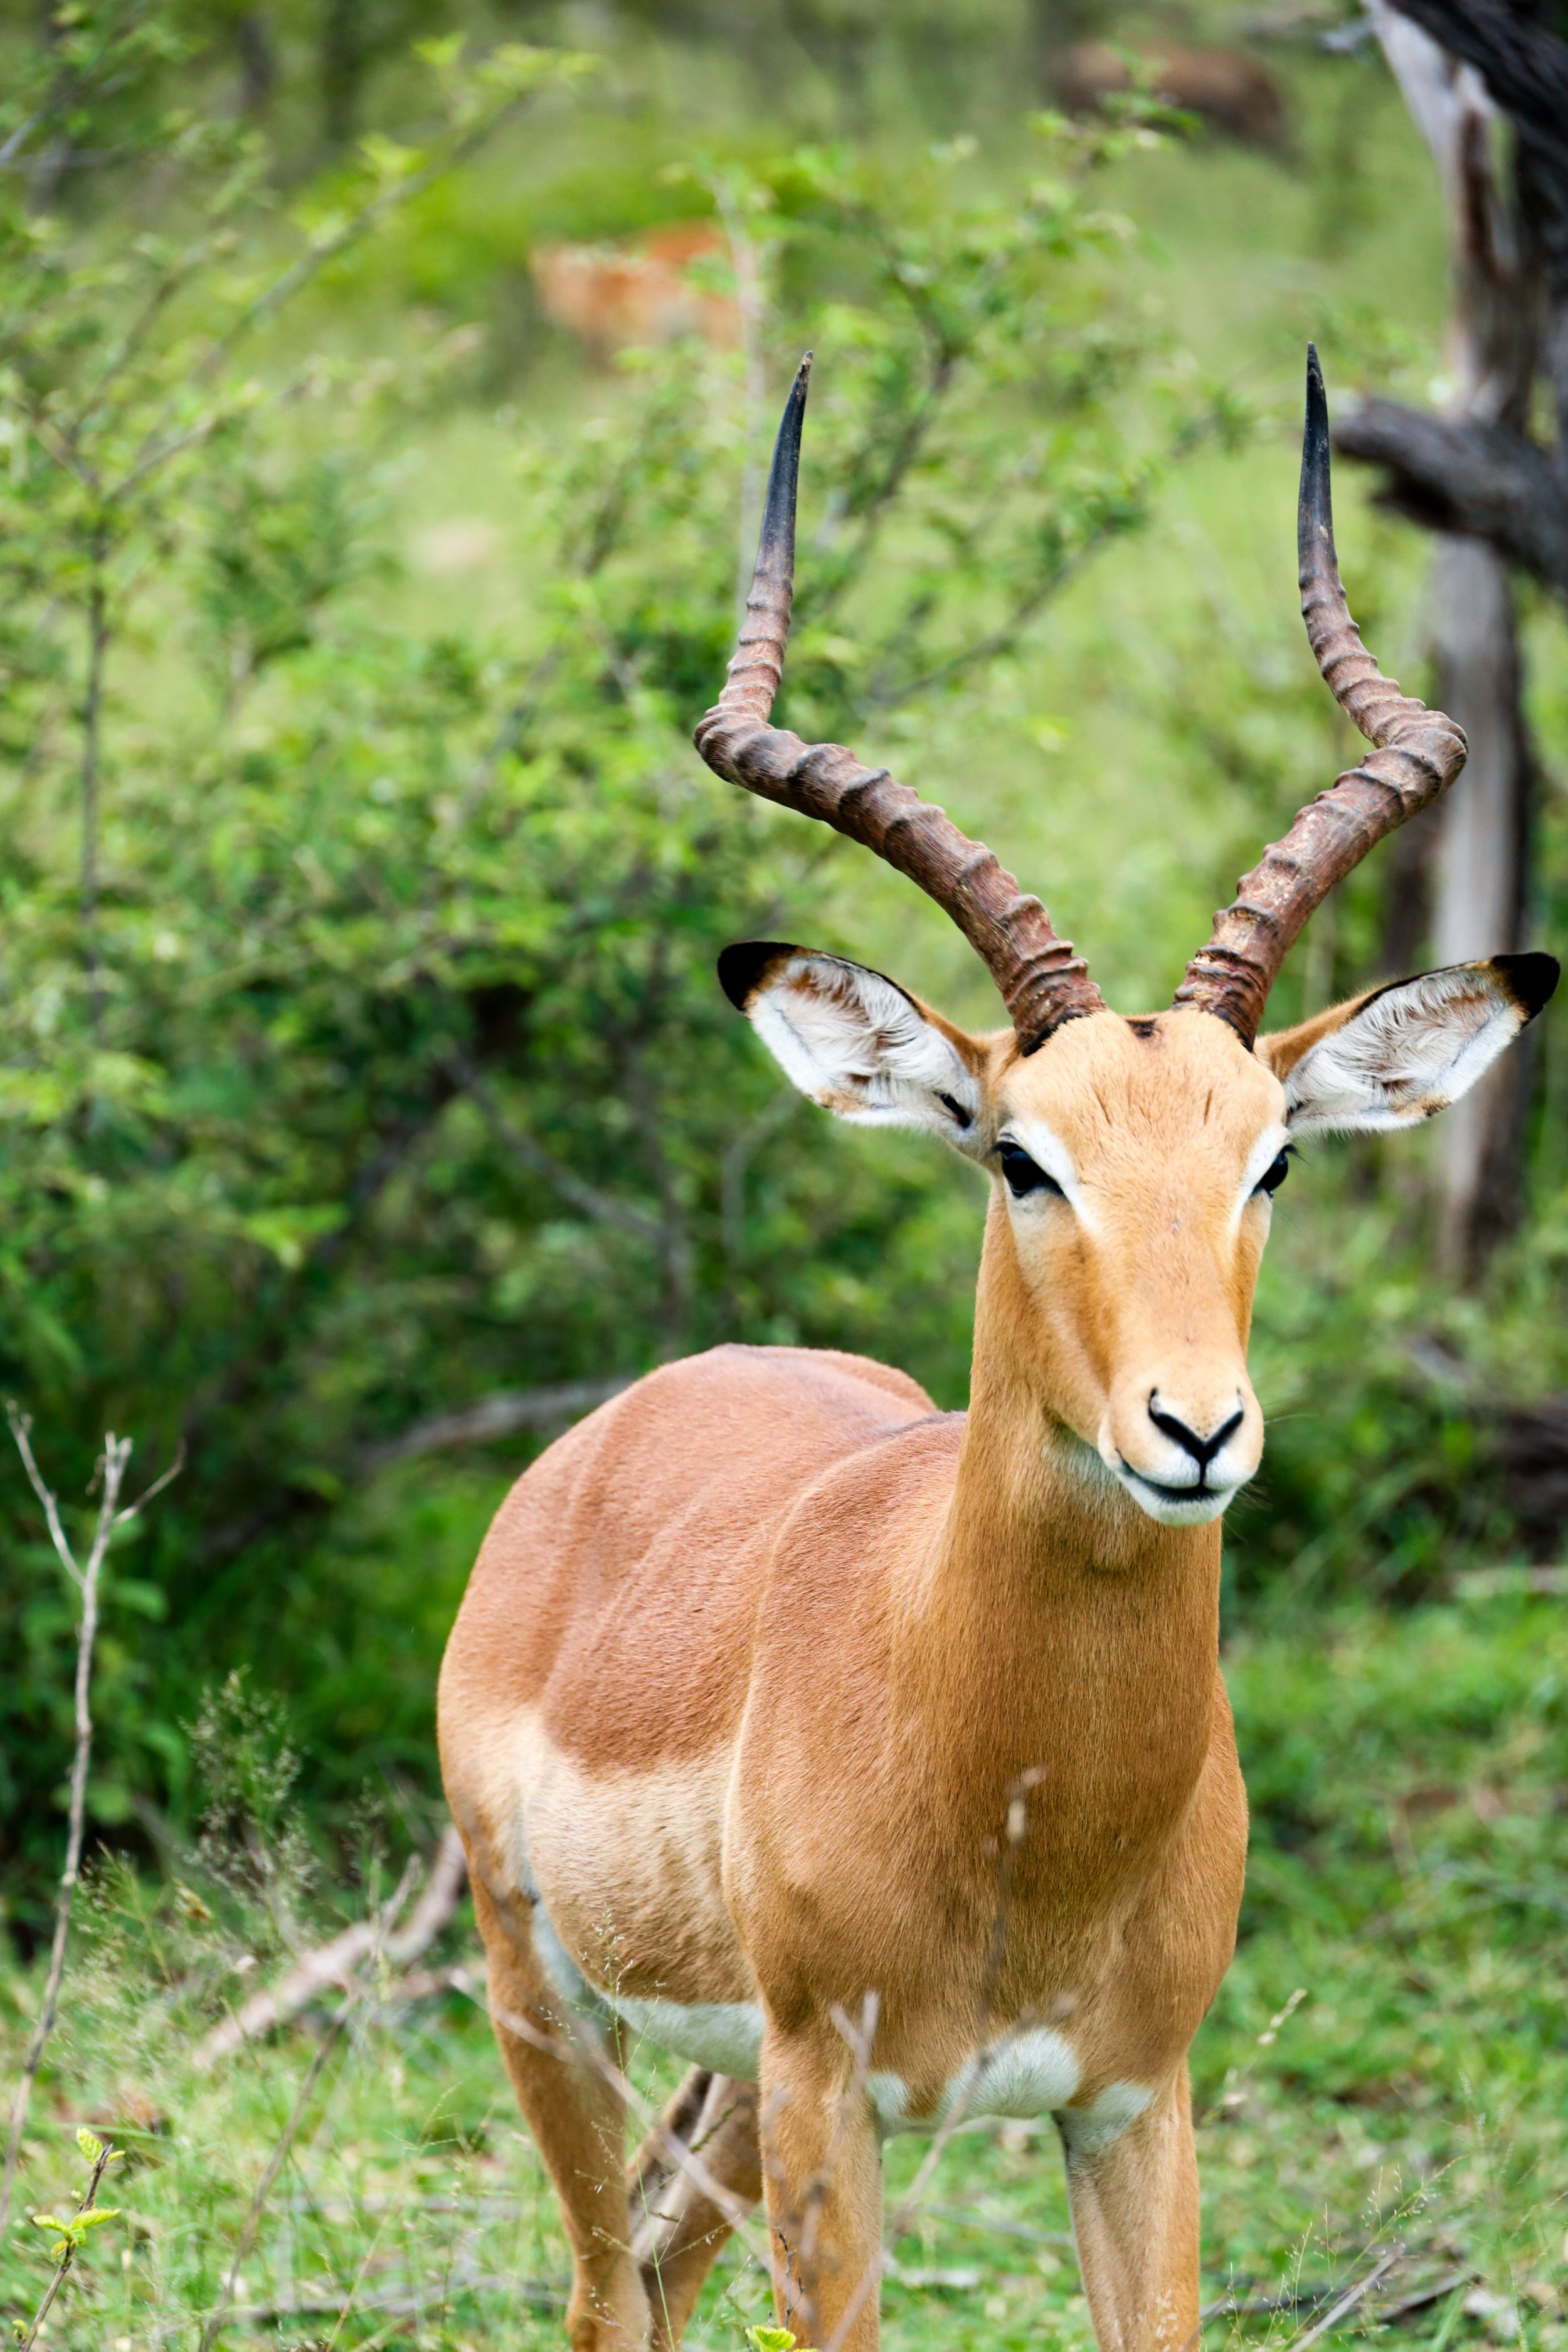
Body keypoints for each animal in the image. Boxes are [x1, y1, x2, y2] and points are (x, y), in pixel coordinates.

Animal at [438, 348, 1556, 2352]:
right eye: (1021, 1155)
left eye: (1268, 1154)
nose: (1195, 1428)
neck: (1018, 1789)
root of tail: (620, 1426)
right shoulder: (834, 2088)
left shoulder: (1135, 2100)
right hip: (548, 1994)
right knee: (601, 2281)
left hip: (723, 2081)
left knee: (652, 2240)